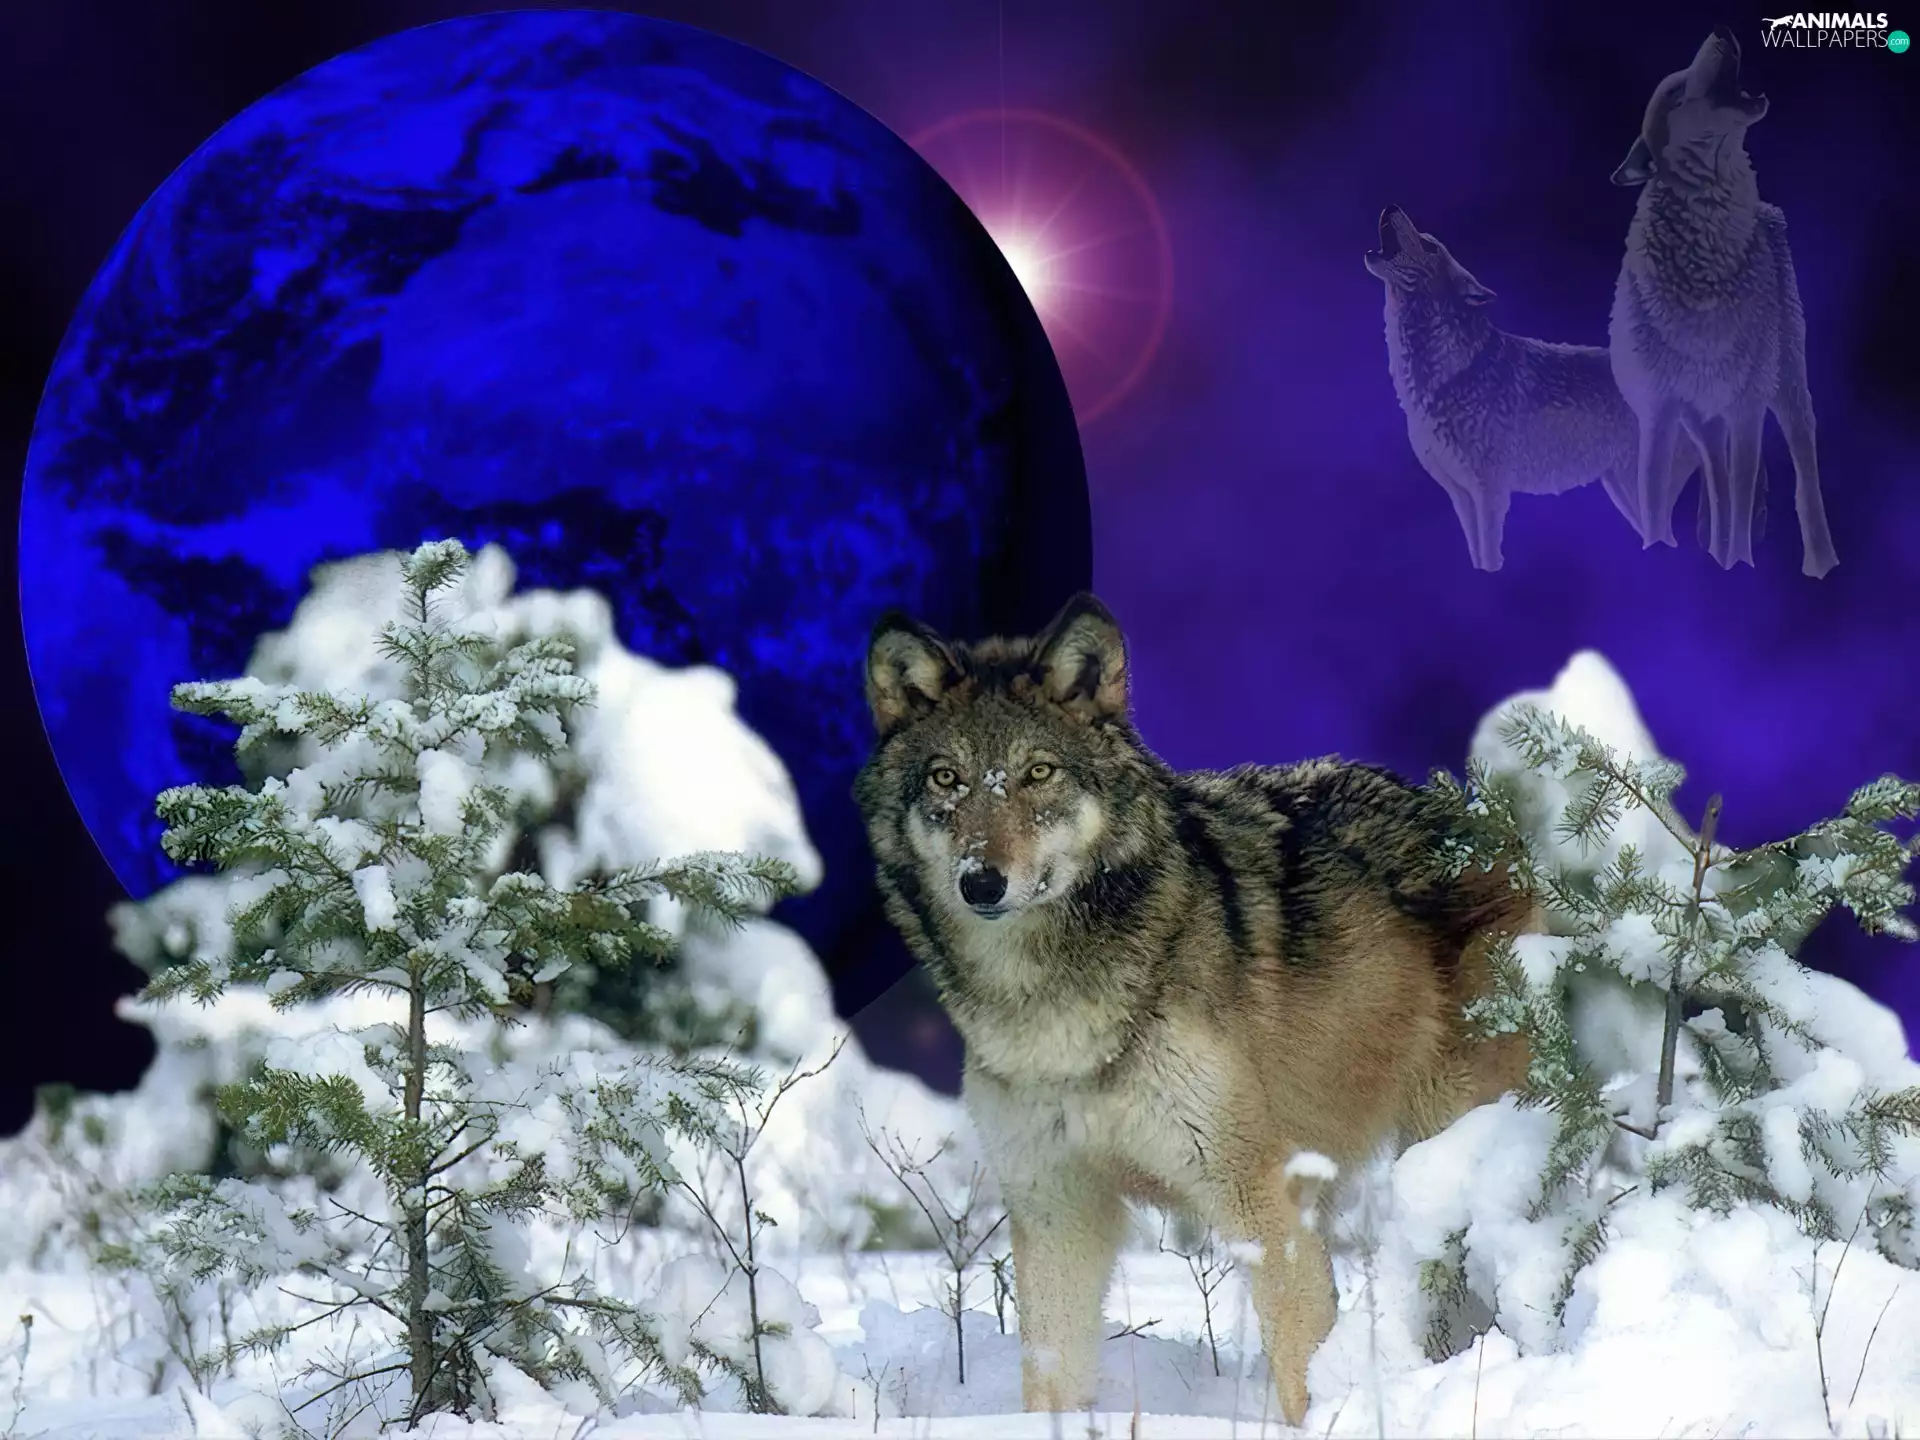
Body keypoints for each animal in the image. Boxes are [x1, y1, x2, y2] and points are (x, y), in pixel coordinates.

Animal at [853, 594, 1532, 1425]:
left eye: (1038, 772)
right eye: (946, 779)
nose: (981, 881)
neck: (1050, 1009)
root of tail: (1483, 821)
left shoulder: (1258, 1195)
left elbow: (1302, 1365)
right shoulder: (1056, 1207)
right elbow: (1049, 1383)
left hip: (1445, 1146)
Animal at [1365, 205, 1720, 571]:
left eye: (1430, 246)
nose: (1391, 207)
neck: (1452, 371)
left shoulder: (1490, 493)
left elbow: (1490, 556)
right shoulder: (1461, 496)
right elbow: (1477, 557)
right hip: (1622, 490)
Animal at [1609, 26, 1838, 578]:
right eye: (1674, 92)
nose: (1722, 31)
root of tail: (1769, 208)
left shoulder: (1747, 407)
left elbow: (1740, 496)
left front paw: (1739, 565)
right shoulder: (1661, 413)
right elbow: (1656, 504)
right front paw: (1664, 555)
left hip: (1784, 383)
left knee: (1800, 460)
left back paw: (1820, 563)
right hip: (1702, 420)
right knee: (1716, 478)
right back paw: (1713, 555)